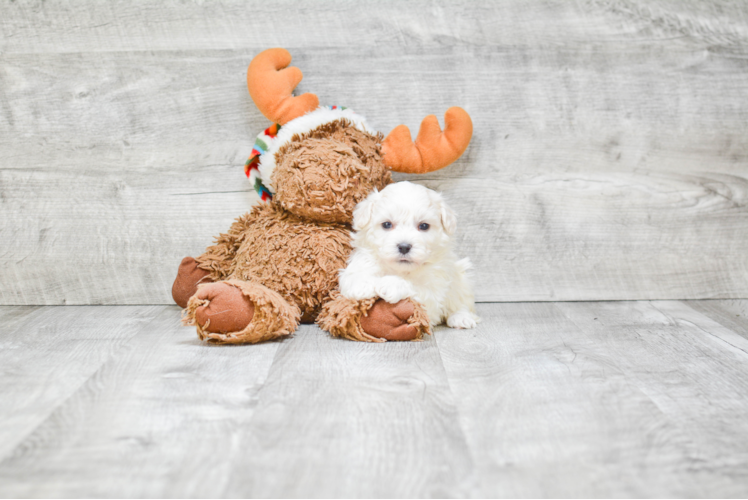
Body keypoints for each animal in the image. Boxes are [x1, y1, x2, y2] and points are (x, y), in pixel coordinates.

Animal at [338, 181, 480, 328]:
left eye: (424, 226)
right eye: (387, 224)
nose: (404, 247)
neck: (401, 270)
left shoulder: (433, 291)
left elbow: (415, 287)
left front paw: (391, 284)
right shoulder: (364, 260)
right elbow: (353, 275)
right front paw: (362, 285)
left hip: (462, 277)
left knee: (461, 302)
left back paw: (461, 317)